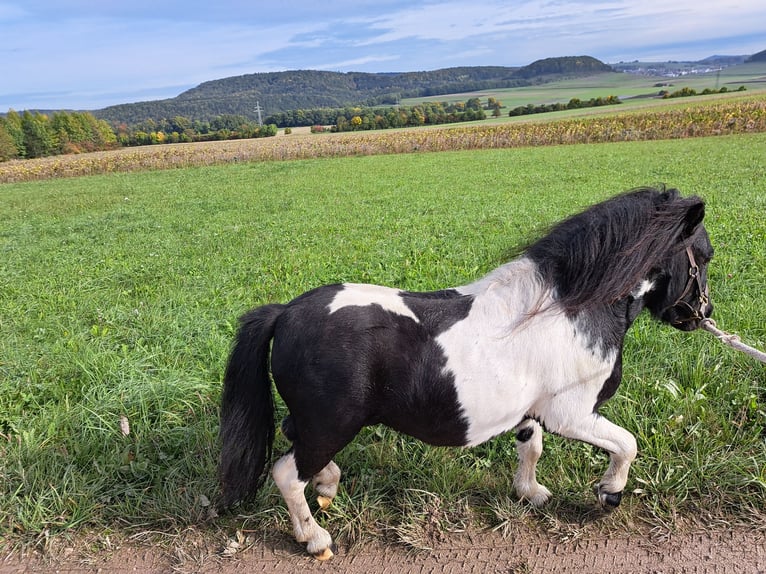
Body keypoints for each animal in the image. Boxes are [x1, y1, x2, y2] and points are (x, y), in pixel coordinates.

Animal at [219, 187, 716, 560]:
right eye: (705, 255)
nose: (702, 315)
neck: (569, 309)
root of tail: (285, 313)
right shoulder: (572, 414)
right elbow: (626, 444)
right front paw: (609, 493)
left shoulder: (532, 411)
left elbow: (531, 448)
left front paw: (530, 493)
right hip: (331, 424)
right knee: (287, 472)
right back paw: (314, 538)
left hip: (317, 423)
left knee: (294, 441)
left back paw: (327, 484)